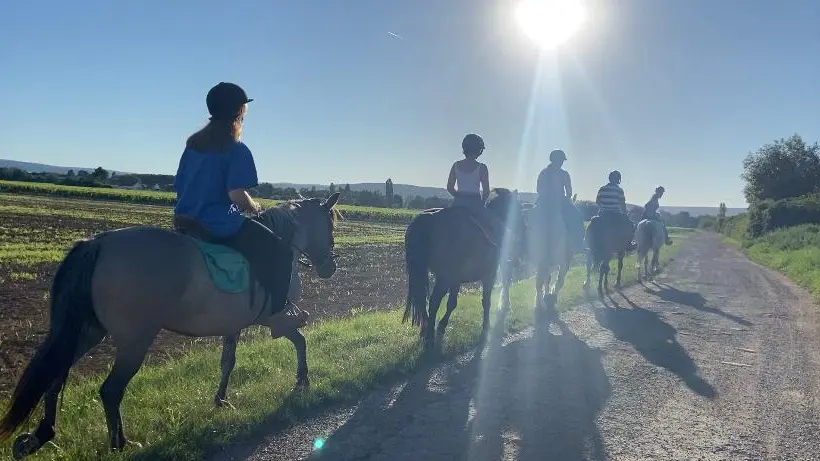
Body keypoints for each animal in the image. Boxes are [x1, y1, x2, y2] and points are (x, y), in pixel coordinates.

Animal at [0, 193, 340, 456]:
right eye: (331, 226)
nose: (330, 268)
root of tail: (97, 243)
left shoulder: (232, 325)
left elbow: (228, 361)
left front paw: (221, 400)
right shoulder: (275, 319)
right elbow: (300, 339)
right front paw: (302, 381)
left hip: (87, 332)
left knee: (55, 376)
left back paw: (40, 437)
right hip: (134, 341)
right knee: (110, 390)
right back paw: (120, 444)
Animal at [402, 187, 524, 352]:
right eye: (518, 208)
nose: (523, 228)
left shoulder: (456, 279)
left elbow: (452, 303)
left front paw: (442, 326)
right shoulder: (489, 274)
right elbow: (486, 300)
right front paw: (486, 327)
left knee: (424, 301)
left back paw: (426, 331)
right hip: (443, 277)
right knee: (433, 301)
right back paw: (429, 337)